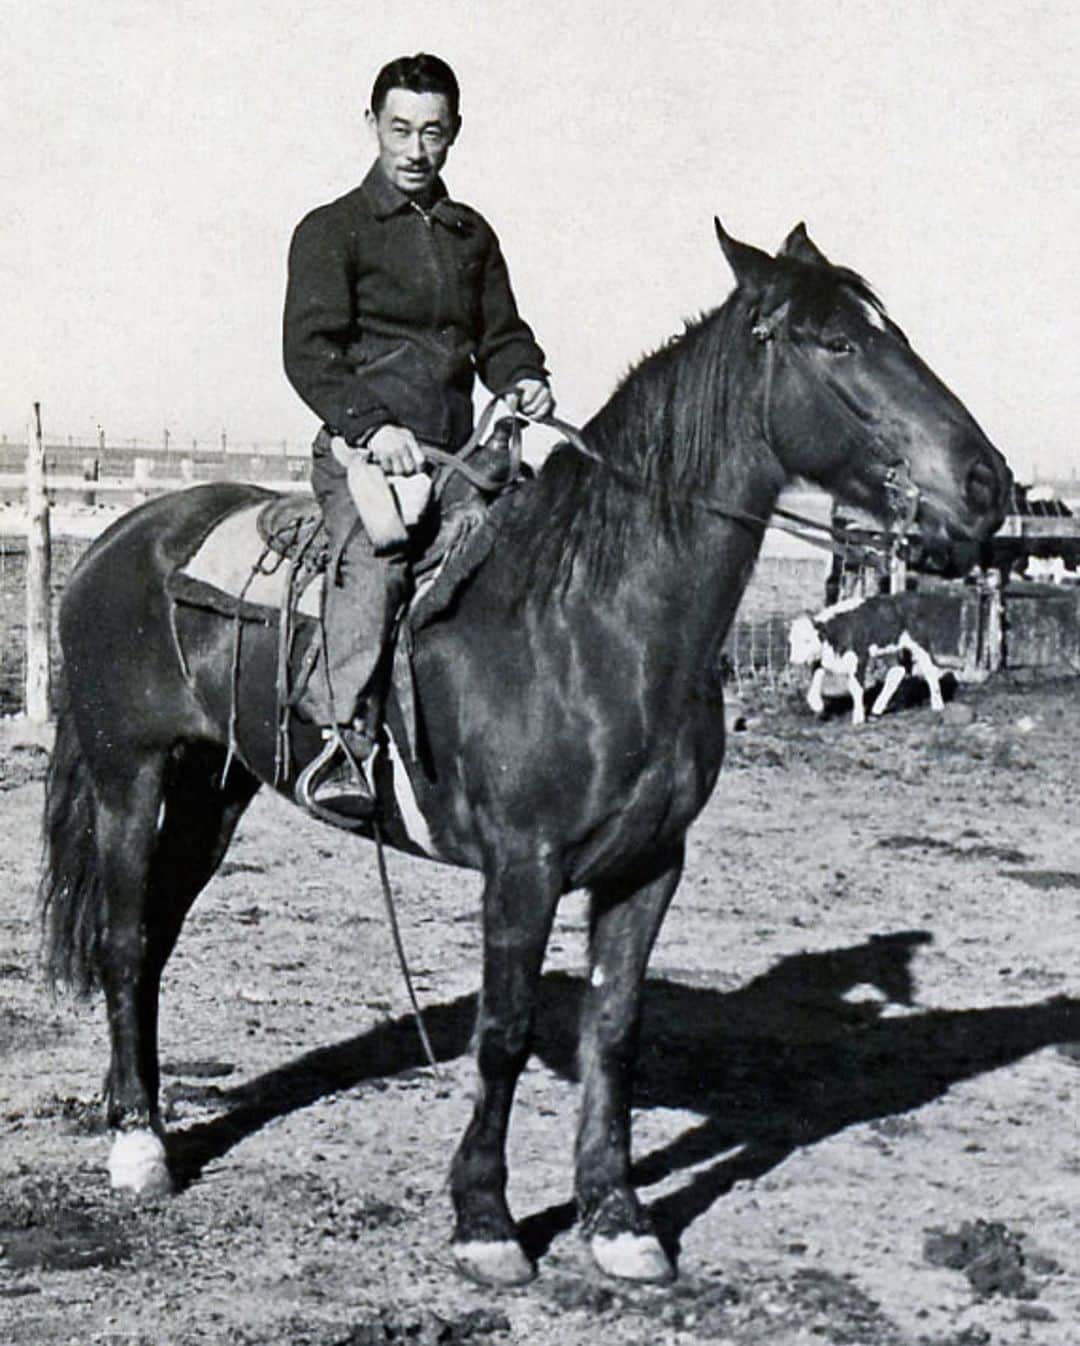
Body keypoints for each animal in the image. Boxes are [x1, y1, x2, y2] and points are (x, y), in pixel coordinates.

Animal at [786, 594, 948, 726]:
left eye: (807, 640)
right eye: (791, 641)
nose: (793, 661)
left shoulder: (860, 658)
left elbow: (856, 688)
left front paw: (858, 718)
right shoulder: (822, 659)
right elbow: (814, 683)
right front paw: (817, 706)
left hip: (919, 643)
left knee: (930, 670)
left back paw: (937, 705)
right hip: (888, 650)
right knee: (897, 672)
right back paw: (877, 710)